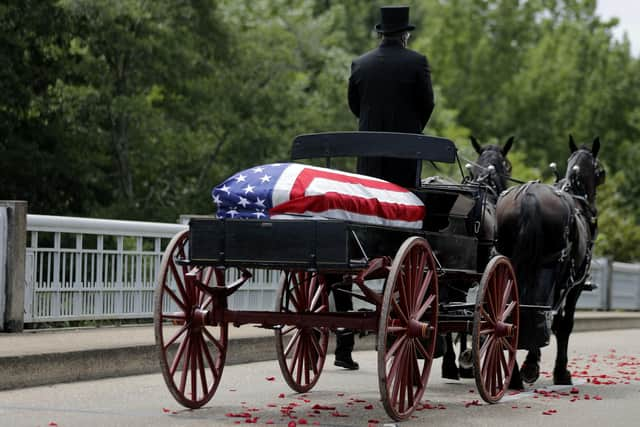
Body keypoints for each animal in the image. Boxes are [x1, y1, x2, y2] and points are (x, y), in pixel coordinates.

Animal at [496, 137, 604, 388]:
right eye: (600, 172)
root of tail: (528, 198)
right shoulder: (574, 286)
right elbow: (563, 325)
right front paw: (559, 371)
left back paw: (512, 374)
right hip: (548, 267)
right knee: (534, 311)